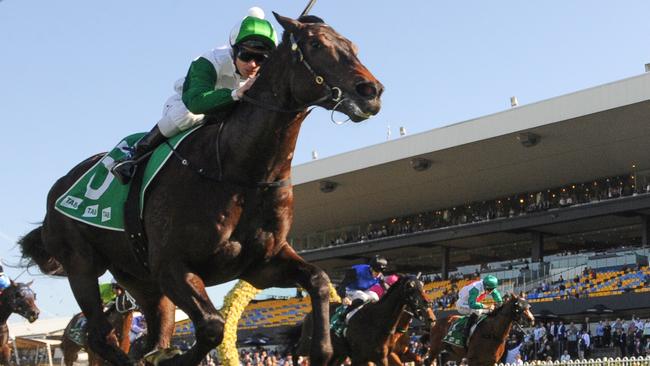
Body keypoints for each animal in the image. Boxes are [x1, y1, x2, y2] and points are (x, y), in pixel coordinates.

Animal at [16, 11, 380, 366]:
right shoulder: (172, 266)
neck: (238, 170)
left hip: (141, 281)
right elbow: (212, 326)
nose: (371, 91)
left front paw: (322, 350)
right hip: (82, 265)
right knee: (100, 337)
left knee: (147, 335)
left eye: (354, 46)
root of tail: (58, 190)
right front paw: (173, 359)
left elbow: (318, 279)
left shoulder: (262, 265)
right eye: (316, 44)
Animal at [292, 276, 432, 364]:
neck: (377, 321)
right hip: (308, 343)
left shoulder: (381, 357)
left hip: (337, 353)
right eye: (410, 287)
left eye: (421, 286)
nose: (428, 304)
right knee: (295, 352)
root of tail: (309, 314)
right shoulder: (358, 358)